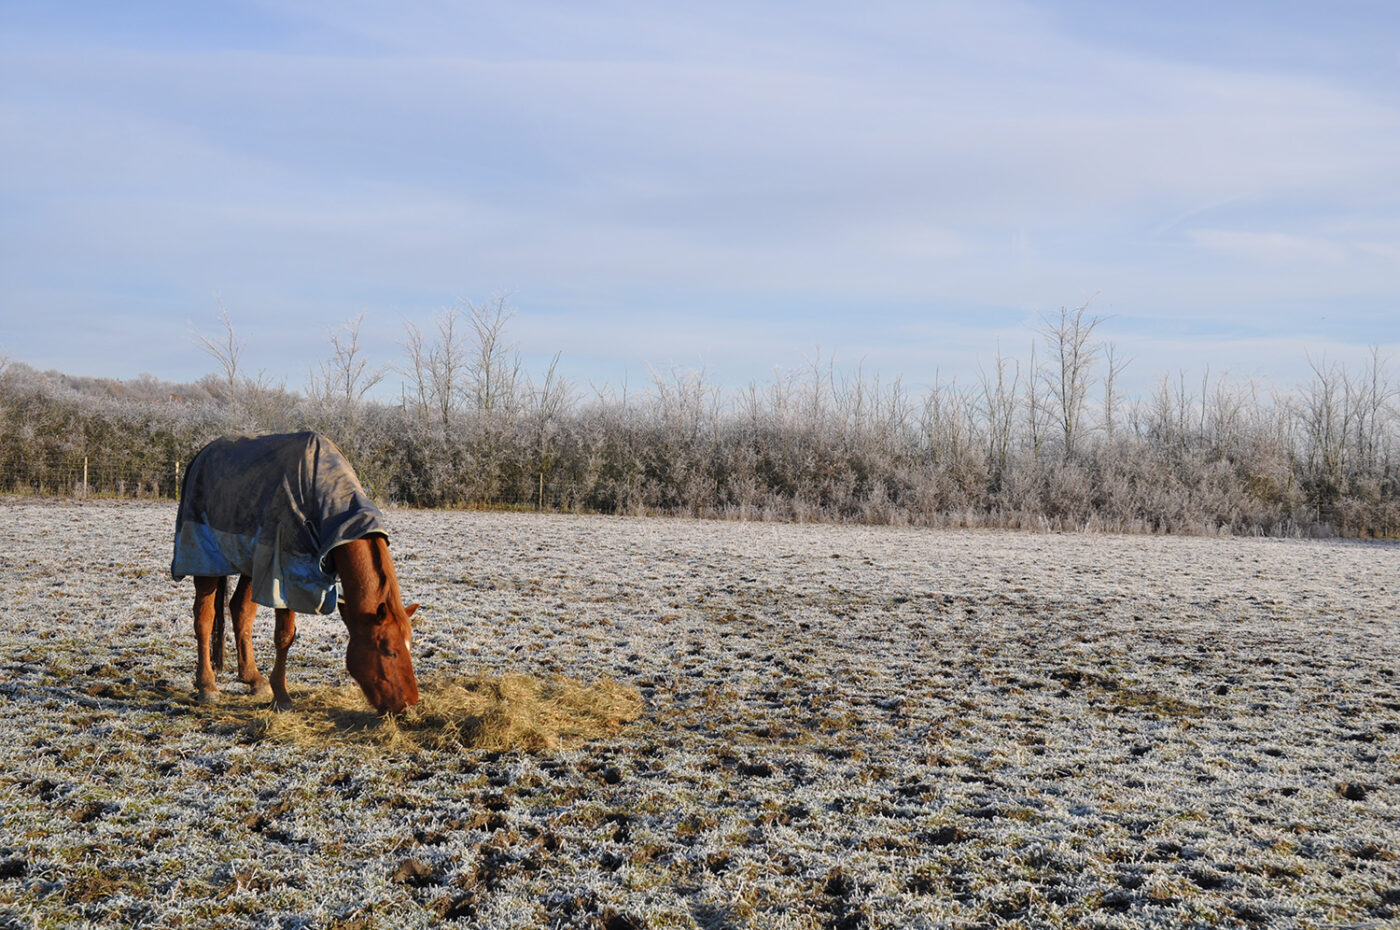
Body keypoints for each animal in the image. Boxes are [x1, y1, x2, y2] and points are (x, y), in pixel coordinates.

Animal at [172, 431, 419, 714]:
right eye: (390, 651)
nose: (409, 705)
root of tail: (200, 455)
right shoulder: (284, 577)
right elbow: (284, 636)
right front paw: (282, 696)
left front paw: (272, 689)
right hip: (204, 560)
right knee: (204, 618)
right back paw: (207, 686)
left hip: (251, 564)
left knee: (240, 610)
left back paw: (253, 679)